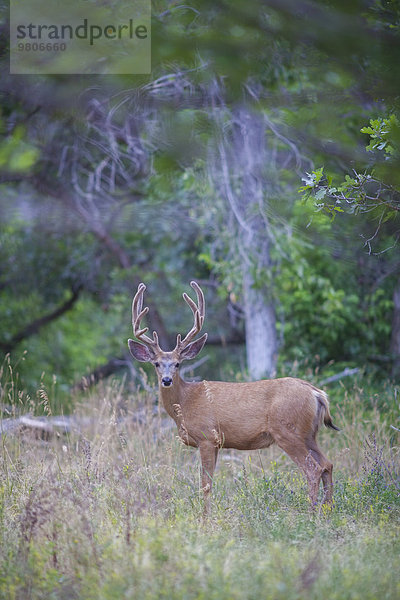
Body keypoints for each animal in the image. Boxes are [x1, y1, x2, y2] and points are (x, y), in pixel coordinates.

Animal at [127, 282, 338, 516]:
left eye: (177, 364)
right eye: (156, 363)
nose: (166, 380)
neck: (186, 401)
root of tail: (317, 394)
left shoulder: (207, 437)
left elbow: (206, 485)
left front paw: (205, 519)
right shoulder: (216, 443)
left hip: (287, 431)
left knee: (313, 469)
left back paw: (311, 515)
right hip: (309, 434)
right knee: (327, 464)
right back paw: (328, 511)